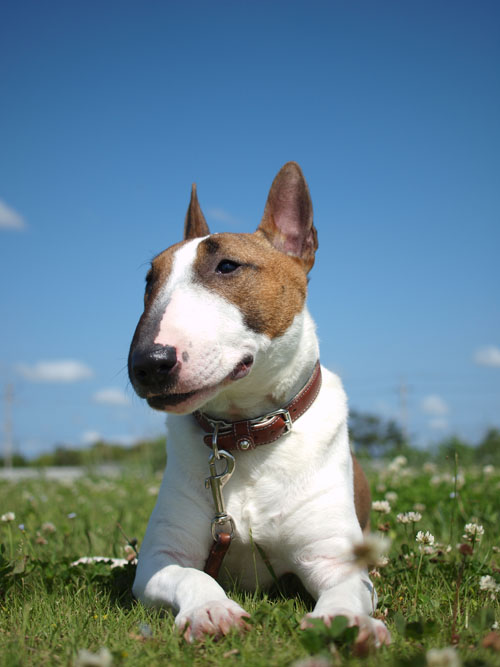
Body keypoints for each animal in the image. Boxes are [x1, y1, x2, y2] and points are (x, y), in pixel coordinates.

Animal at [127, 160, 388, 648]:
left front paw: (347, 622)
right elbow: (192, 575)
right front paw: (211, 610)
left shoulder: (335, 562)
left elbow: (346, 592)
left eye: (228, 266)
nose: (147, 364)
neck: (245, 434)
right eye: (149, 280)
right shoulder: (158, 559)